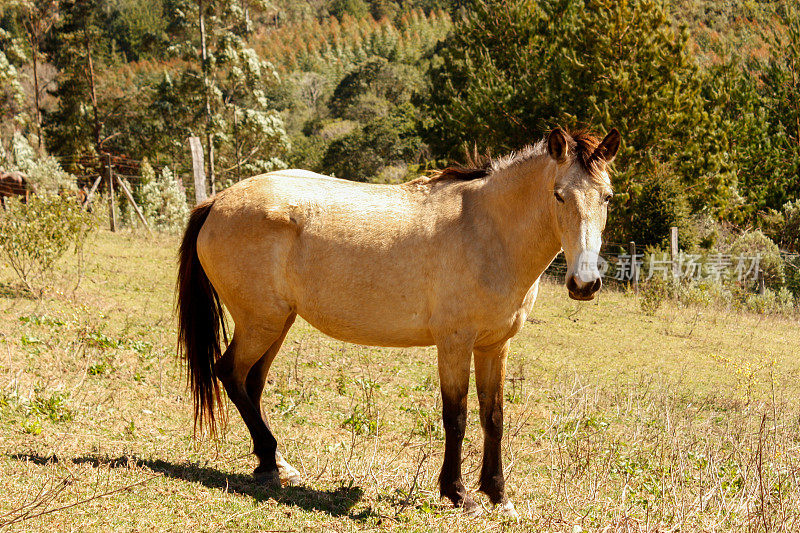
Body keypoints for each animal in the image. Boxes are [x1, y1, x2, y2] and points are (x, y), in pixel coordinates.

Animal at [178, 124, 620, 516]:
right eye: (559, 195)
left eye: (607, 198)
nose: (584, 283)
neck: (486, 232)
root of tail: (217, 202)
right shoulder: (454, 344)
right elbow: (456, 417)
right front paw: (459, 494)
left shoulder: (494, 346)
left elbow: (492, 417)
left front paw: (498, 495)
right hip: (261, 323)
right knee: (230, 374)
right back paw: (271, 460)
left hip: (277, 323)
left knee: (251, 383)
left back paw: (275, 465)